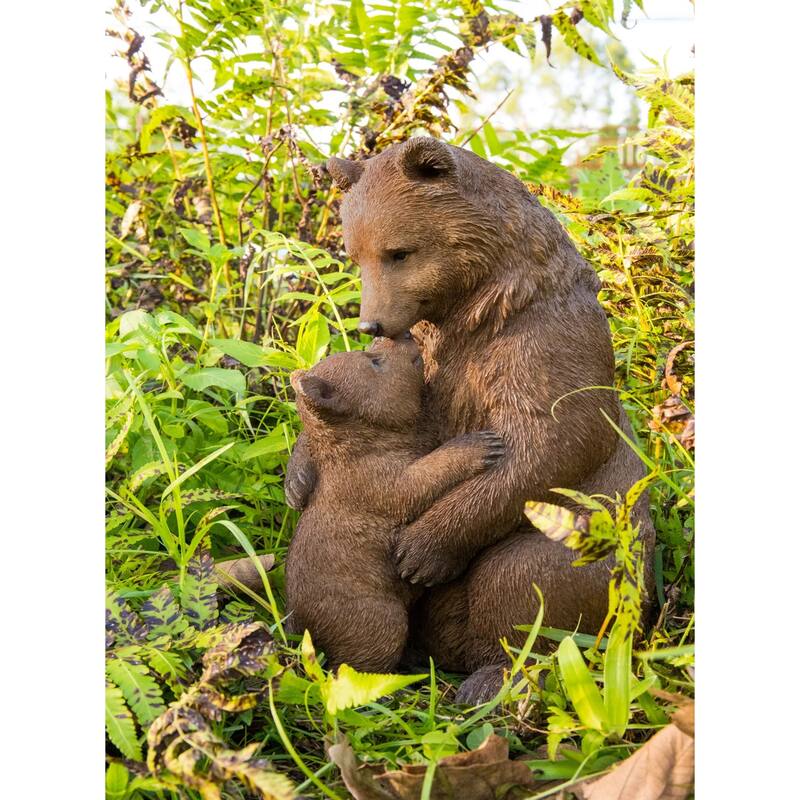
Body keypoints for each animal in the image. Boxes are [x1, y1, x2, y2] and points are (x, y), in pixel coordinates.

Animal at [284, 335, 505, 673]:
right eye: (374, 361)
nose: (402, 335)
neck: (362, 443)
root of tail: (300, 628)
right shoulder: (382, 484)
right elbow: (427, 474)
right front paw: (480, 445)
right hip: (380, 621)